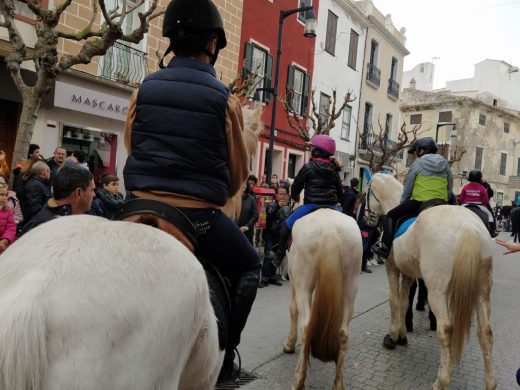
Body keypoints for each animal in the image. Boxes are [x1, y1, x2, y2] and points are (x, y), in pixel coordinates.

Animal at [280, 206, 362, 388]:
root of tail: (329, 230)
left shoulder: (293, 280)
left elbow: (292, 310)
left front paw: (289, 344)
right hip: (350, 286)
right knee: (343, 333)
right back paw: (338, 384)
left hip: (303, 284)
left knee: (305, 327)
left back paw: (298, 380)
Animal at [364, 174, 498, 390]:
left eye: (367, 192)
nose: (367, 219)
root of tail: (469, 228)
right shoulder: (408, 273)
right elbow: (404, 302)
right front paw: (402, 335)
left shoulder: (392, 268)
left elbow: (394, 301)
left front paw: (392, 336)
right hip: (482, 291)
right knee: (485, 332)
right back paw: (490, 382)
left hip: (437, 292)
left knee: (446, 330)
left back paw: (441, 381)